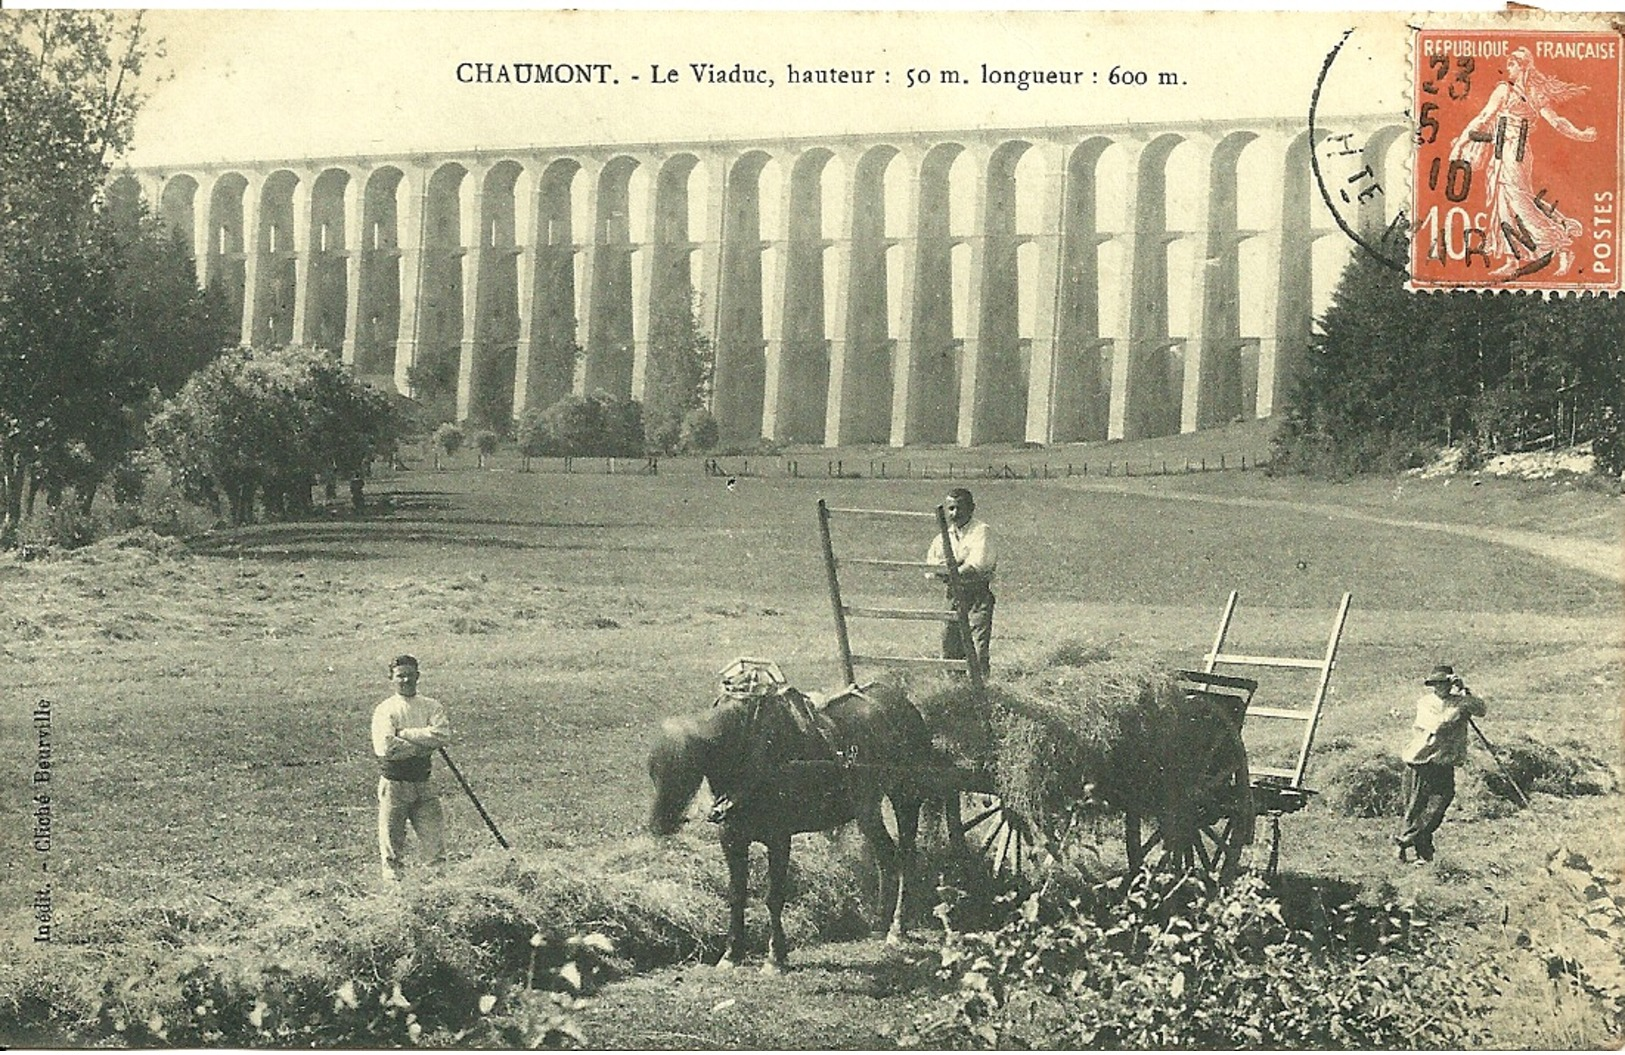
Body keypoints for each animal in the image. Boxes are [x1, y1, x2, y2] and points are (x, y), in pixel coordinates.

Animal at [643, 682, 936, 968]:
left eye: (681, 768)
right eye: (653, 771)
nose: (658, 825)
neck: (749, 748)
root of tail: (903, 703)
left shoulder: (779, 838)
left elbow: (773, 897)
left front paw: (776, 956)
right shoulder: (731, 837)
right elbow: (736, 895)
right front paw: (732, 953)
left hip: (905, 799)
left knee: (905, 857)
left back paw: (897, 927)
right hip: (867, 809)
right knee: (886, 857)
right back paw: (880, 924)